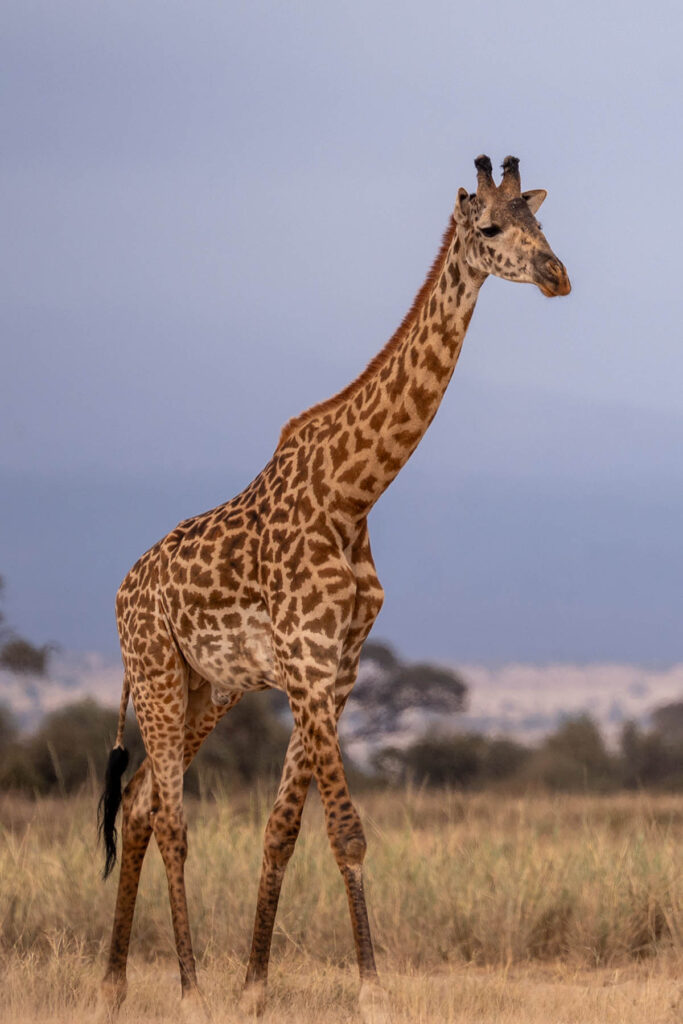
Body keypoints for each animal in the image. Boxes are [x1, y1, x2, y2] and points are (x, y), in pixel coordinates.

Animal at [97, 155, 570, 1022]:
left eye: (543, 222)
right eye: (491, 227)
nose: (557, 275)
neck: (354, 493)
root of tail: (122, 590)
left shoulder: (337, 670)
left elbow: (284, 826)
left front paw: (254, 985)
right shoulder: (310, 662)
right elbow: (345, 830)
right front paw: (372, 990)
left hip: (206, 685)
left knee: (143, 798)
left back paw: (114, 984)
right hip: (153, 670)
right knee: (172, 815)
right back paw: (186, 990)